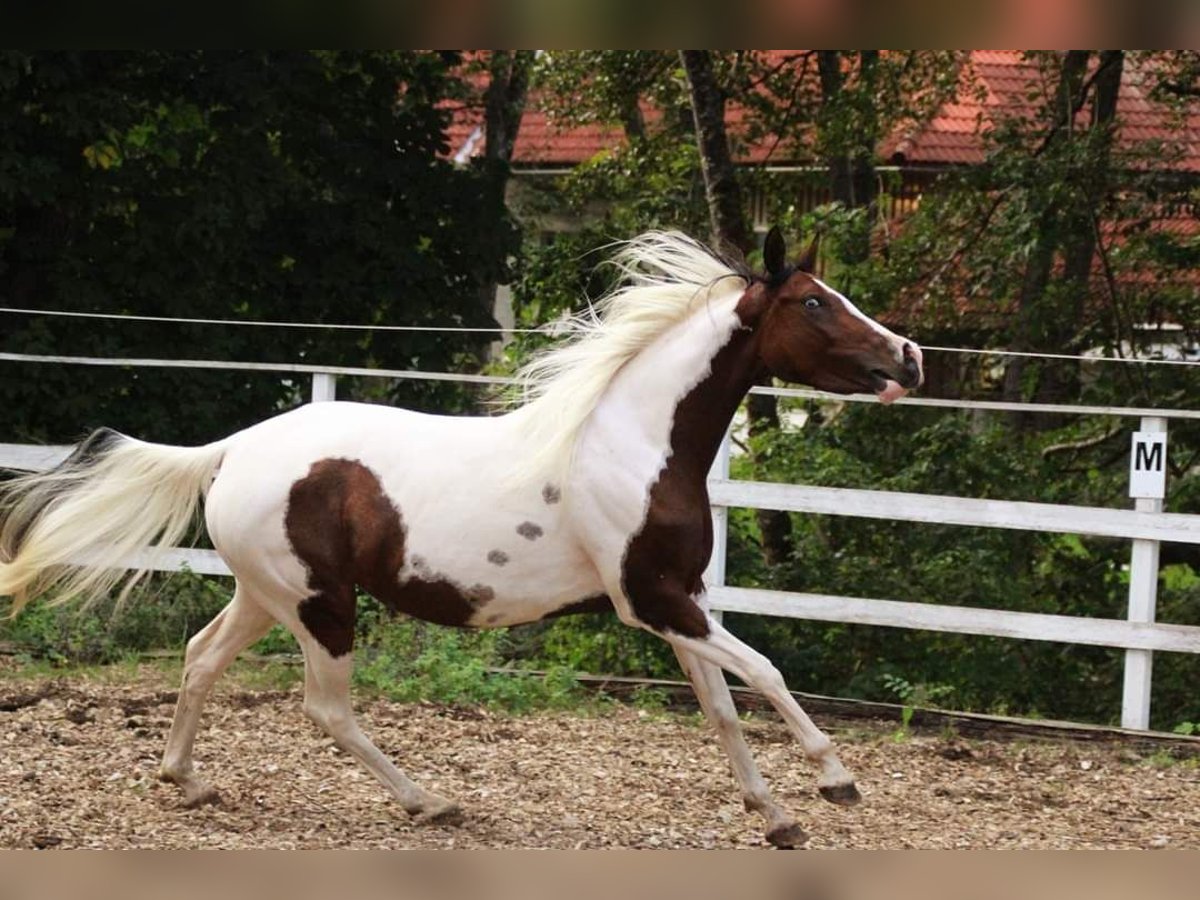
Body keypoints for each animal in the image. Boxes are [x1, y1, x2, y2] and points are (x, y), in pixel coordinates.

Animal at [0, 229, 926, 849]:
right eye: (815, 301)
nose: (911, 357)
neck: (633, 443)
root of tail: (231, 450)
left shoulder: (681, 601)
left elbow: (724, 710)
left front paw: (774, 816)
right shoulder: (652, 602)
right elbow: (764, 673)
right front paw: (837, 782)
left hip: (268, 596)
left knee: (200, 657)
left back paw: (186, 782)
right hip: (320, 606)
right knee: (325, 708)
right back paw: (430, 802)